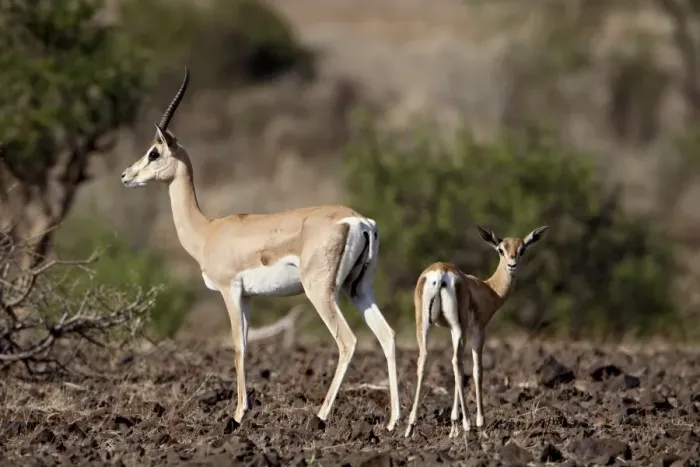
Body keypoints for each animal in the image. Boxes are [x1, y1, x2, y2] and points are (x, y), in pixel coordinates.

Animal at [120, 68, 400, 431]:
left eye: (154, 152)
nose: (126, 175)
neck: (208, 231)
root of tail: (358, 220)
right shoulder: (250, 297)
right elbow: (247, 345)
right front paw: (247, 409)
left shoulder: (229, 291)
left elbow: (237, 347)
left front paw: (238, 414)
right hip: (359, 289)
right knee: (387, 335)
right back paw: (396, 422)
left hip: (321, 292)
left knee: (347, 341)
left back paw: (321, 415)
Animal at [404, 225, 549, 438]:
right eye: (501, 250)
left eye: (522, 249)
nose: (512, 265)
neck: (489, 289)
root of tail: (440, 273)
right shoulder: (478, 330)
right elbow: (477, 370)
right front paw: (478, 424)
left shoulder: (454, 330)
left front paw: (453, 427)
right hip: (457, 327)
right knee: (457, 363)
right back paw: (469, 424)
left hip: (424, 326)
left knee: (425, 361)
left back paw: (411, 427)